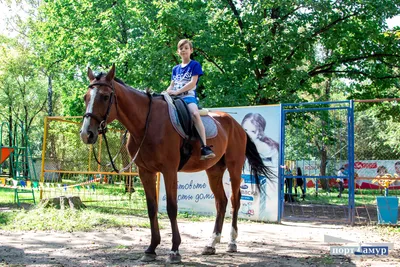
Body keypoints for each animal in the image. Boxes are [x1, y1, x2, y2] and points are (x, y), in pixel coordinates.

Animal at [79, 64, 272, 264]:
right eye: (86, 97)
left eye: (105, 96)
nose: (86, 134)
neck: (146, 123)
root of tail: (237, 126)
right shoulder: (145, 172)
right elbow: (152, 208)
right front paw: (151, 248)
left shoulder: (169, 170)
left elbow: (172, 208)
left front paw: (174, 251)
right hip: (214, 171)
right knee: (221, 202)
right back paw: (211, 243)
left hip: (234, 168)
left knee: (235, 200)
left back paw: (232, 242)